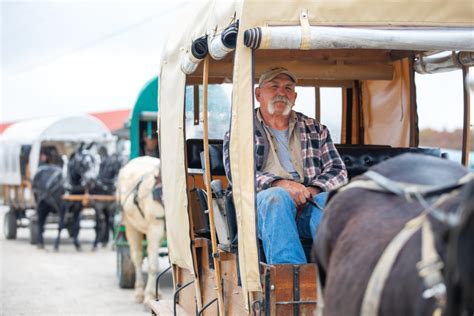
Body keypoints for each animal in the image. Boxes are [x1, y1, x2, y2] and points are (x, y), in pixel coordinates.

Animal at [116, 157, 165, 304]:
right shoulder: (155, 229)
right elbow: (153, 265)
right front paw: (148, 295)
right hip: (130, 225)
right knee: (137, 257)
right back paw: (139, 291)